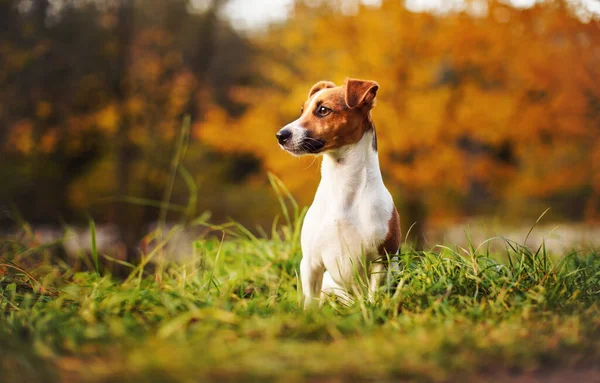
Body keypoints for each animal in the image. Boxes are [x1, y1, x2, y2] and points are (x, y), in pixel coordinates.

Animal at [276, 78, 398, 308]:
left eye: (323, 110)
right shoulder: (311, 263)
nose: (280, 135)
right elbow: (310, 301)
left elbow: (374, 295)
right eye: (303, 110)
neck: (342, 187)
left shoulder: (381, 261)